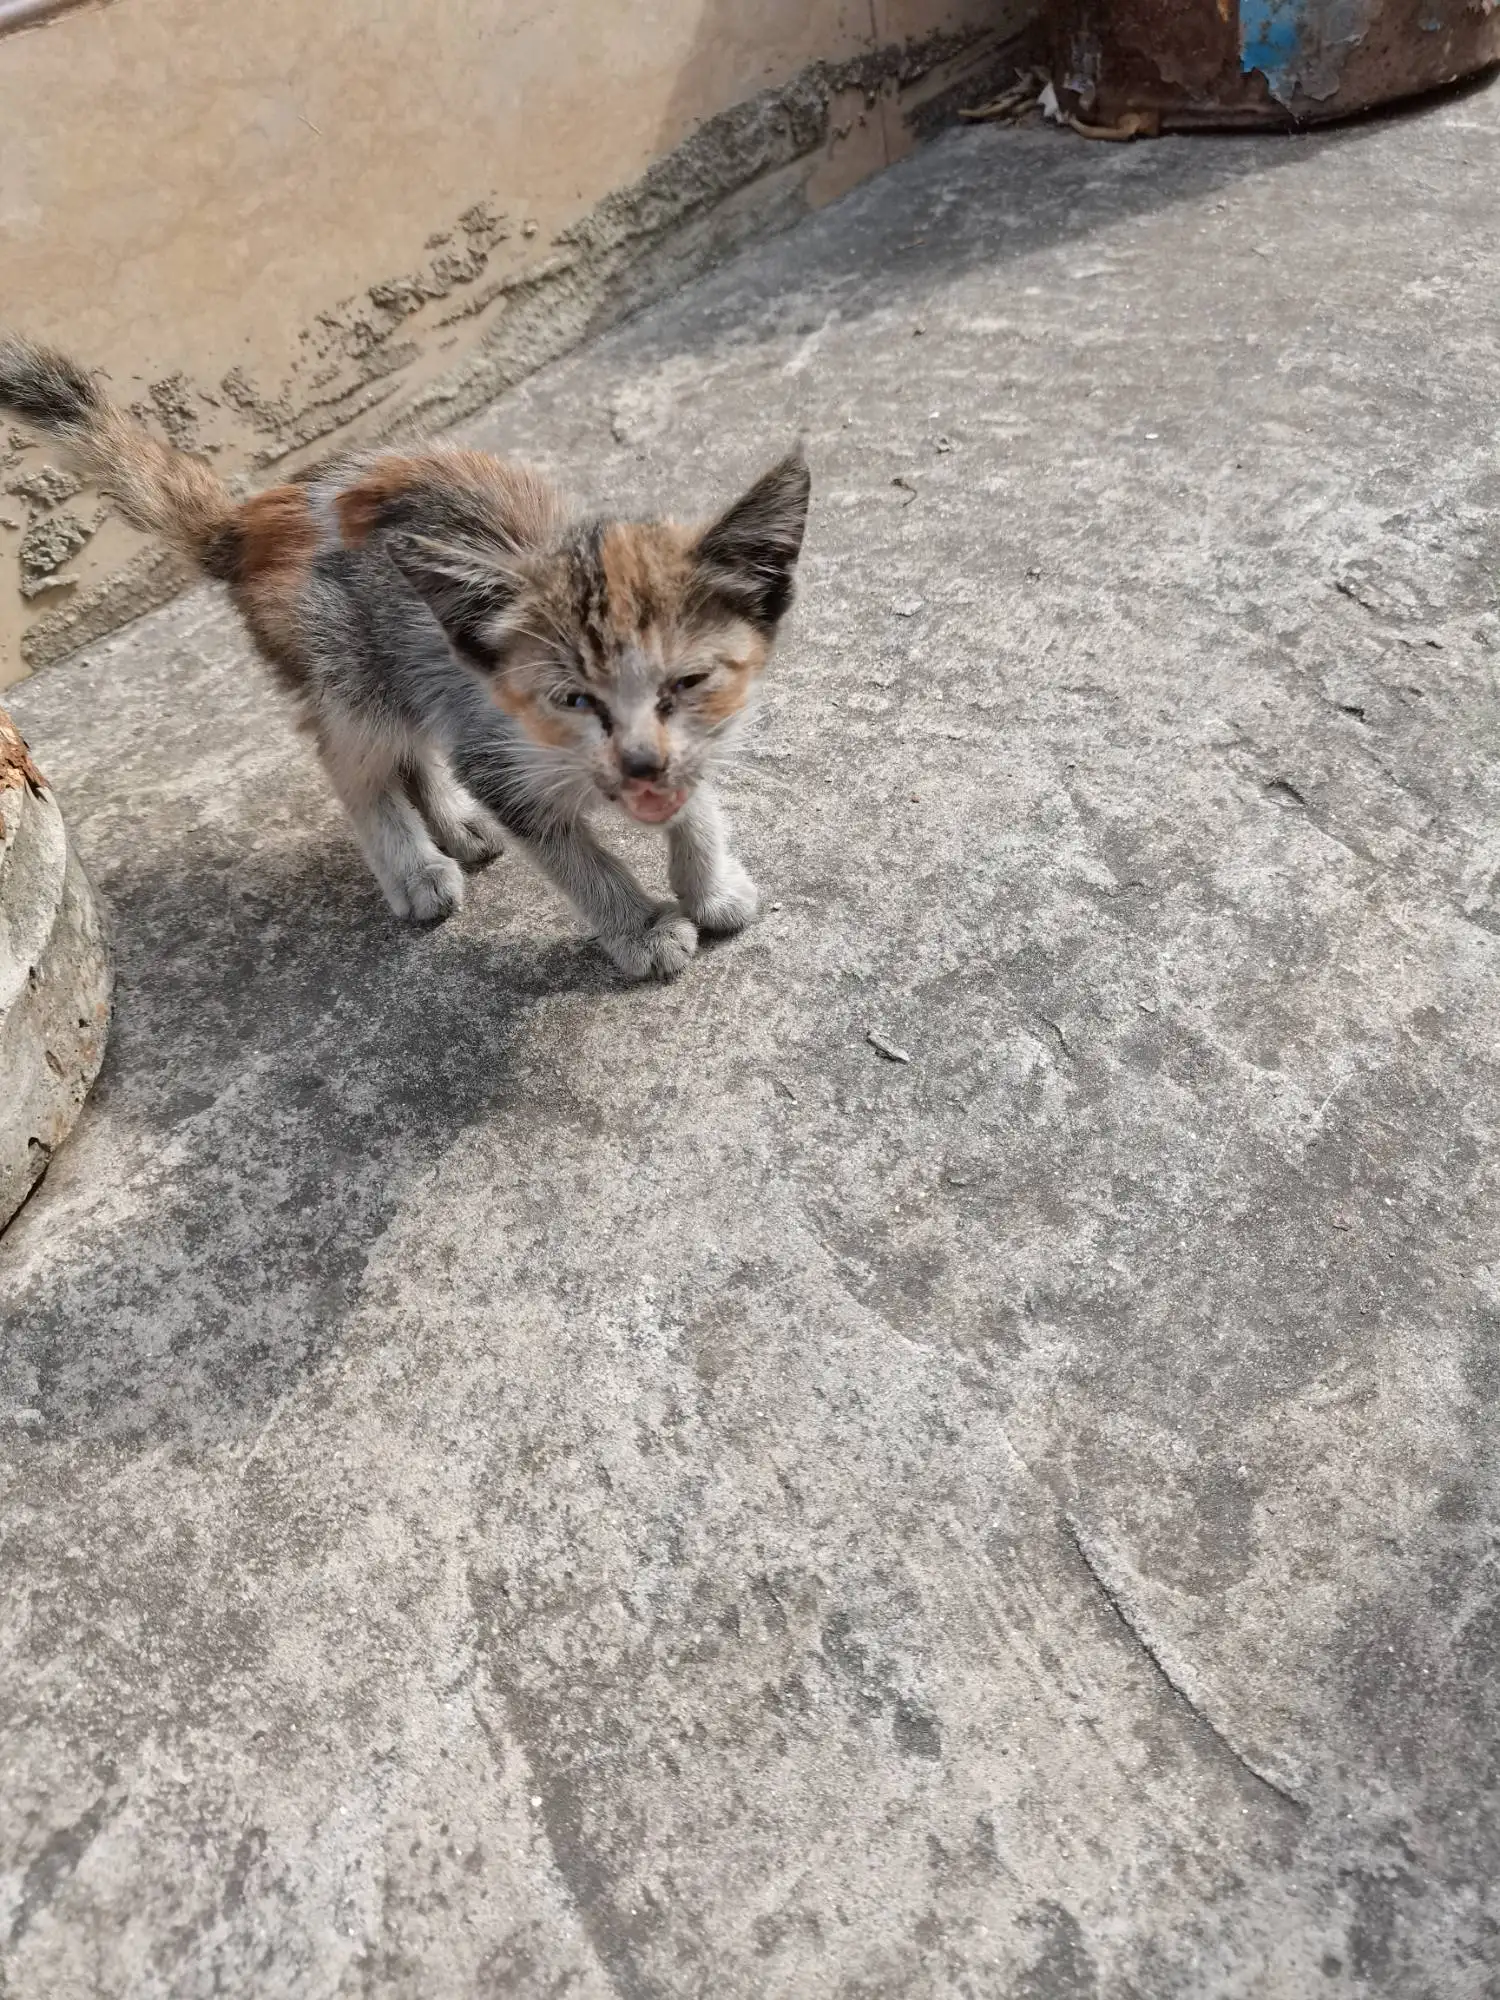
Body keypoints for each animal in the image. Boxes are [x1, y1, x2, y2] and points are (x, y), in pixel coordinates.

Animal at [2, 340, 812, 980]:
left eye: (688, 683)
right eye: (574, 700)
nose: (642, 764)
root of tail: (254, 517)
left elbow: (694, 804)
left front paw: (709, 885)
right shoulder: (500, 753)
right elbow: (580, 861)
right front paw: (640, 928)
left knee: (415, 738)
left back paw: (453, 821)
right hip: (346, 672)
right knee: (353, 761)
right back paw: (415, 867)